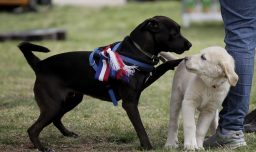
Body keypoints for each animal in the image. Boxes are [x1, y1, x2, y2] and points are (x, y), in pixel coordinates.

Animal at [18, 16, 190, 151]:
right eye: (174, 33)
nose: (190, 45)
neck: (136, 50)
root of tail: (40, 65)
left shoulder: (144, 82)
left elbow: (164, 65)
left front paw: (181, 61)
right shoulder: (130, 103)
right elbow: (140, 128)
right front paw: (147, 146)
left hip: (71, 100)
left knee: (55, 119)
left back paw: (68, 134)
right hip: (53, 105)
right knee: (33, 130)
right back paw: (42, 147)